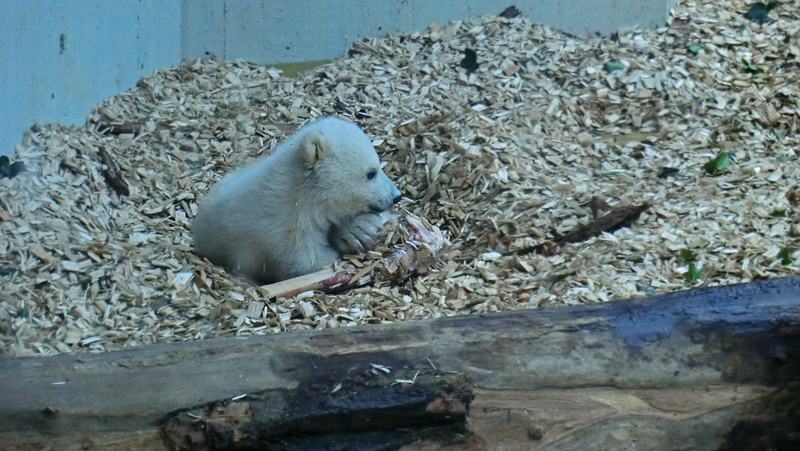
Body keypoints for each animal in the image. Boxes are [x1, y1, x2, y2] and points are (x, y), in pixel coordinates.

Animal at [191, 118, 404, 284]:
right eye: (371, 173)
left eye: (378, 166)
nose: (396, 196)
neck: (298, 195)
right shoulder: (286, 233)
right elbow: (308, 263)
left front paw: (359, 229)